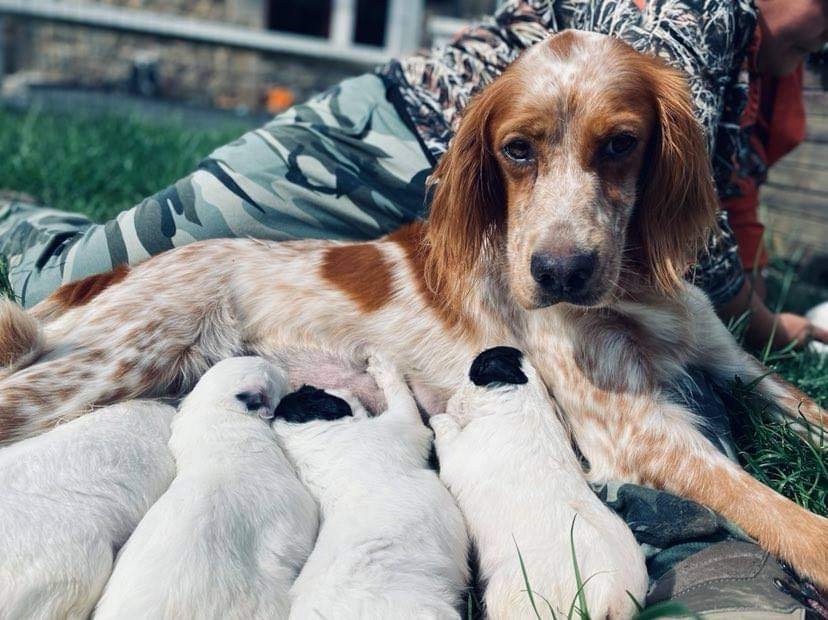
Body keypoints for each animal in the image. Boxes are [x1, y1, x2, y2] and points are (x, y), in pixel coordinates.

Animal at [1, 30, 828, 592]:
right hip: (107, 362)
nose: (558, 272)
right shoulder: (636, 434)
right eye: (517, 150)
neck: (633, 290)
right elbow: (772, 509)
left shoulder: (736, 367)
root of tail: (107, 275)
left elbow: (805, 410)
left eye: (621, 142)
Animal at [274, 354, 468, 620]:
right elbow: (400, 395)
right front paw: (384, 368)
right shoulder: (402, 425)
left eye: (307, 391)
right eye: (314, 393)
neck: (312, 441)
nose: (306, 384)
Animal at [430, 346, 652, 620]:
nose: (449, 400)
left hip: (508, 595)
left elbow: (445, 430)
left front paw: (438, 418)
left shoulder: (457, 452)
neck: (526, 402)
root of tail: (614, 600)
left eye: (473, 373)